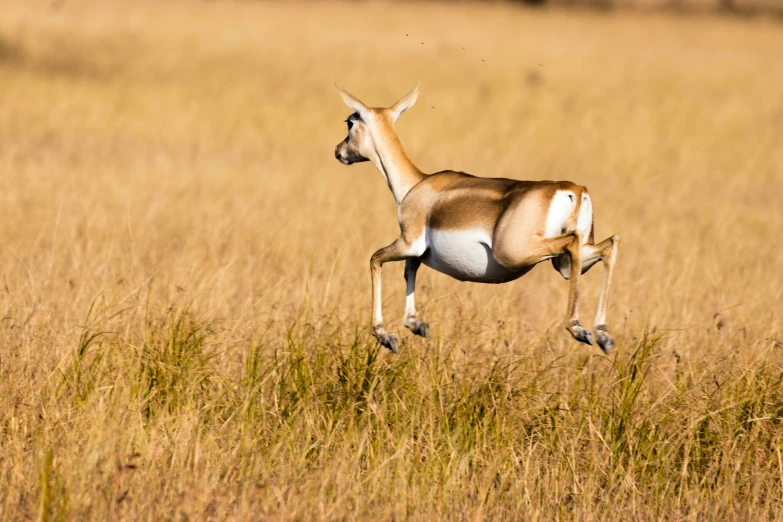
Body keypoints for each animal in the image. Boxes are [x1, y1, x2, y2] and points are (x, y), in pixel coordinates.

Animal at [334, 83, 620, 354]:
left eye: (350, 122)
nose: (339, 151)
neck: (416, 185)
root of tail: (574, 189)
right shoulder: (416, 253)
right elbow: (409, 272)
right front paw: (416, 325)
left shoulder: (408, 243)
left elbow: (375, 259)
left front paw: (386, 337)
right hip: (565, 263)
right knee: (609, 244)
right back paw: (602, 335)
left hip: (519, 253)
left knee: (574, 241)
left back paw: (578, 328)